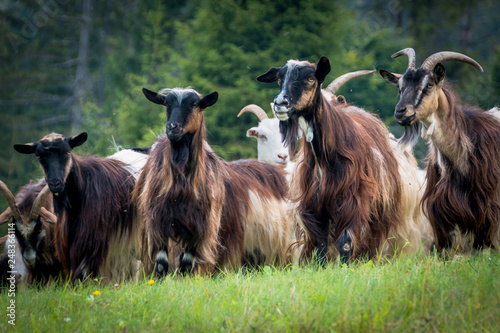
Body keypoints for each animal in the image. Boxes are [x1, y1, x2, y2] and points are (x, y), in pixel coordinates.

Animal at [135, 86, 294, 274]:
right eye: (166, 103)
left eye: (195, 104)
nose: (172, 128)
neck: (181, 186)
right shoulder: (158, 223)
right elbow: (161, 264)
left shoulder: (200, 228)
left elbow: (186, 264)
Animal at [258, 57, 434, 264]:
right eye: (280, 78)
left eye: (310, 78)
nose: (280, 103)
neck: (326, 159)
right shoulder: (315, 206)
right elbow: (320, 246)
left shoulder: (353, 201)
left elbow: (346, 242)